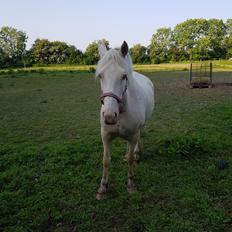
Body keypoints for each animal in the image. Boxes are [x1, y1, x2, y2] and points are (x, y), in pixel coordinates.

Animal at [95, 41, 155, 199]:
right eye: (100, 75)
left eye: (123, 76)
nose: (109, 116)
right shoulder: (105, 136)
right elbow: (106, 160)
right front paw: (103, 187)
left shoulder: (133, 134)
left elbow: (130, 161)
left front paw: (130, 184)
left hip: (139, 129)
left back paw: (136, 153)